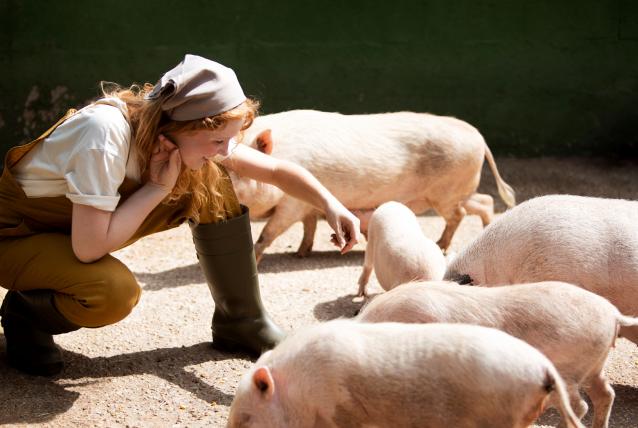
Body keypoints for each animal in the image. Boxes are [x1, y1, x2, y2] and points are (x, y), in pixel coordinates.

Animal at [228, 108, 516, 262]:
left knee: (460, 213)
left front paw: (260, 257)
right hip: (457, 191)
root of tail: (478, 136)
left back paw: (441, 245)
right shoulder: (305, 207)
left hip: (445, 193)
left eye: (236, 170)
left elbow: (268, 233)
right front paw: (301, 254)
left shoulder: (291, 204)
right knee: (485, 202)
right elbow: (309, 226)